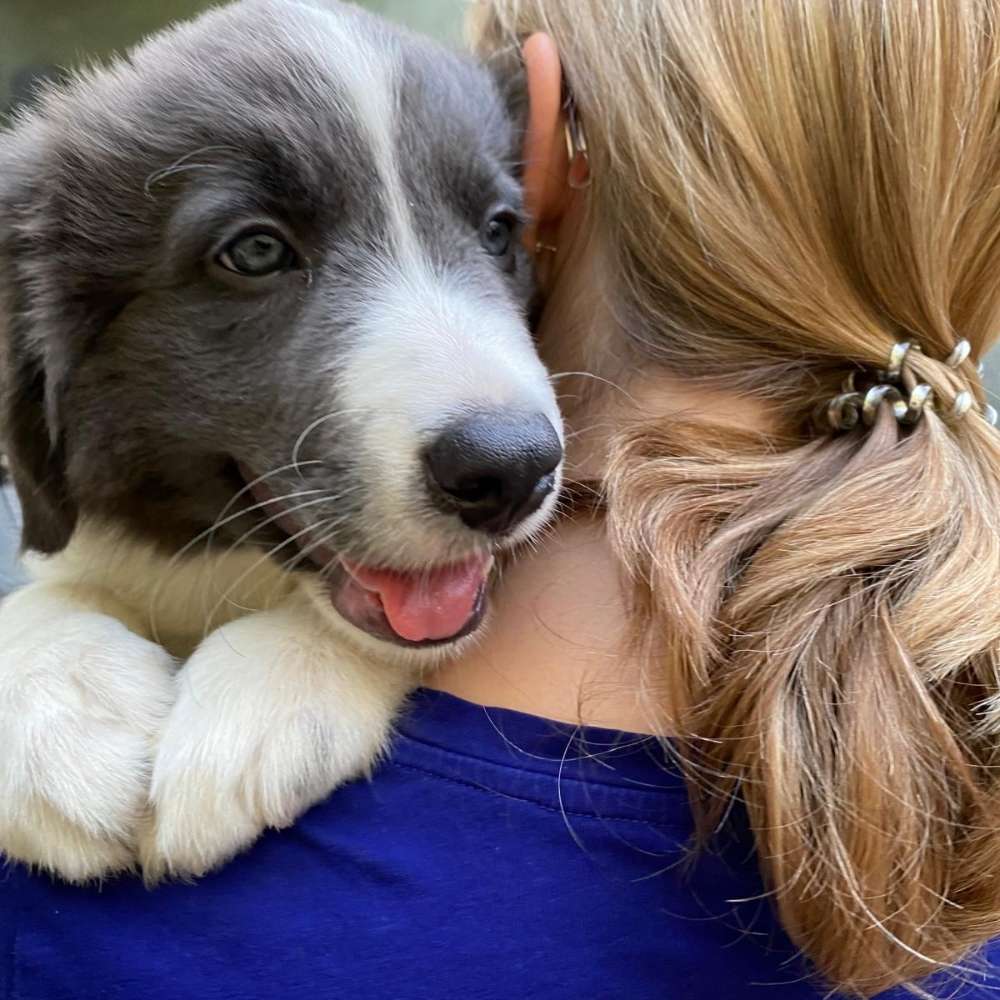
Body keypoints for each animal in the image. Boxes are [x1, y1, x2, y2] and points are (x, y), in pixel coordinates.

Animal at [0, 0, 564, 888]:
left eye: (500, 232)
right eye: (256, 250)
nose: (511, 470)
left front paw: (266, 695)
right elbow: (48, 592)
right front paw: (59, 715)